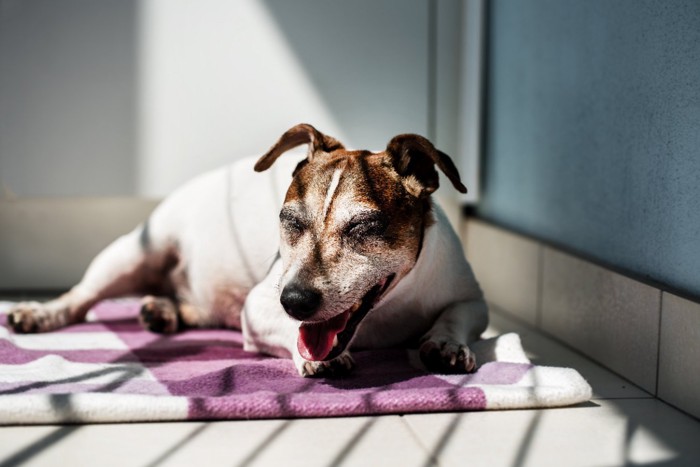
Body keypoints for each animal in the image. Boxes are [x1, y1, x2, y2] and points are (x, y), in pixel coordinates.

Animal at [6, 123, 486, 376]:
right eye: (290, 220)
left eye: (365, 227)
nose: (294, 300)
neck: (386, 310)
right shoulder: (258, 308)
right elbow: (289, 332)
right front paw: (315, 357)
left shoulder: (469, 297)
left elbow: (457, 316)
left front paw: (444, 342)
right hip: (133, 254)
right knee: (80, 297)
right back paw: (39, 313)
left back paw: (165, 311)